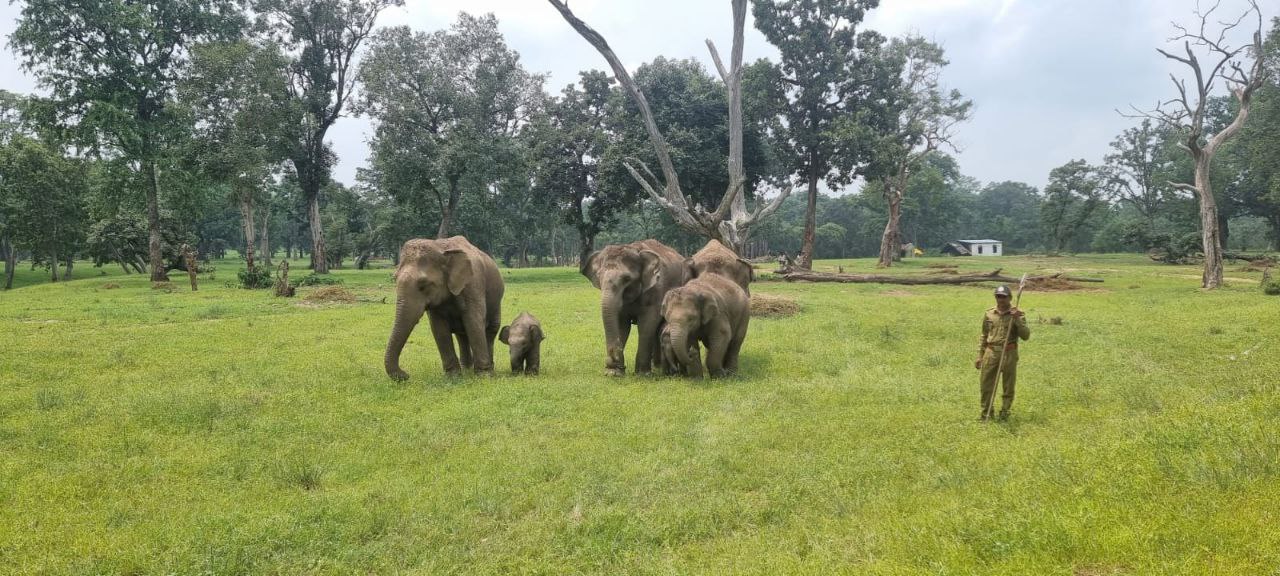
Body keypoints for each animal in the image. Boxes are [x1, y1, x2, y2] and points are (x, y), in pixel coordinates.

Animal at [381, 236, 501, 381]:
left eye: (423, 285)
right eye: (395, 279)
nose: (406, 375)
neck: (441, 248)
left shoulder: (473, 285)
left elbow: (474, 323)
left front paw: (484, 377)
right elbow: (439, 329)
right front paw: (453, 377)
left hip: (496, 300)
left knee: (490, 330)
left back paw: (489, 369)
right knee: (462, 335)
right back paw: (466, 370)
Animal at [586, 236, 691, 376]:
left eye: (626, 279)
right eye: (598, 277)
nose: (614, 358)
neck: (635, 249)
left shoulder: (656, 291)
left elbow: (646, 324)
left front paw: (642, 374)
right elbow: (622, 325)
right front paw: (614, 373)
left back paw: (656, 367)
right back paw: (655, 365)